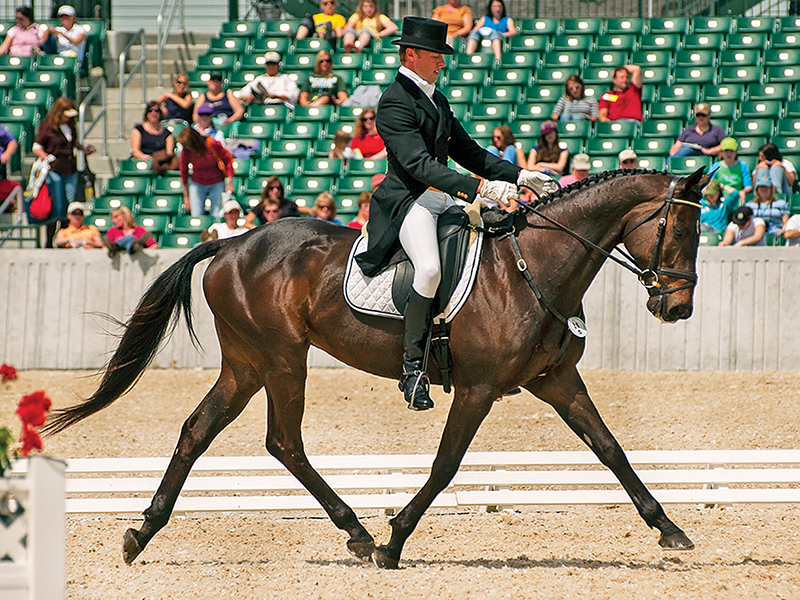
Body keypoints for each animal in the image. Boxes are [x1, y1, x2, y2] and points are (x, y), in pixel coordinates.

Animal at [45, 168, 707, 569]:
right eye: (677, 227)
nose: (677, 308)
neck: (531, 268)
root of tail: (233, 242)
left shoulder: (558, 382)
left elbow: (611, 450)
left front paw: (669, 529)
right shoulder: (478, 388)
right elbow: (445, 467)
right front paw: (395, 539)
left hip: (247, 364)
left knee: (198, 431)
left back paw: (141, 532)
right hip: (281, 358)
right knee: (283, 441)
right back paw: (360, 534)